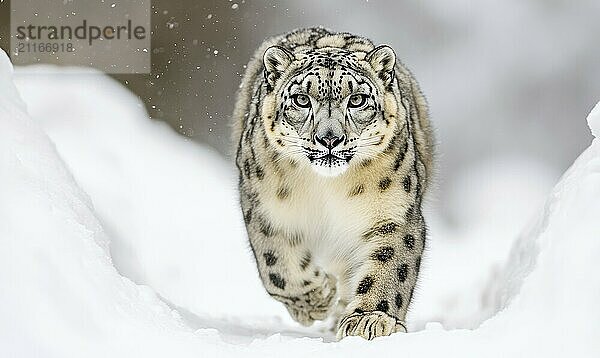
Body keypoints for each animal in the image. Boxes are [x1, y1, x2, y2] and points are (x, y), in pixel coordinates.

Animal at [232, 26, 434, 340]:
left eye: (357, 99)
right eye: (302, 99)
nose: (329, 138)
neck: (327, 188)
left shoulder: (394, 213)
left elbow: (390, 264)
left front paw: (369, 319)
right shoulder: (266, 209)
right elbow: (277, 266)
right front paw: (317, 298)